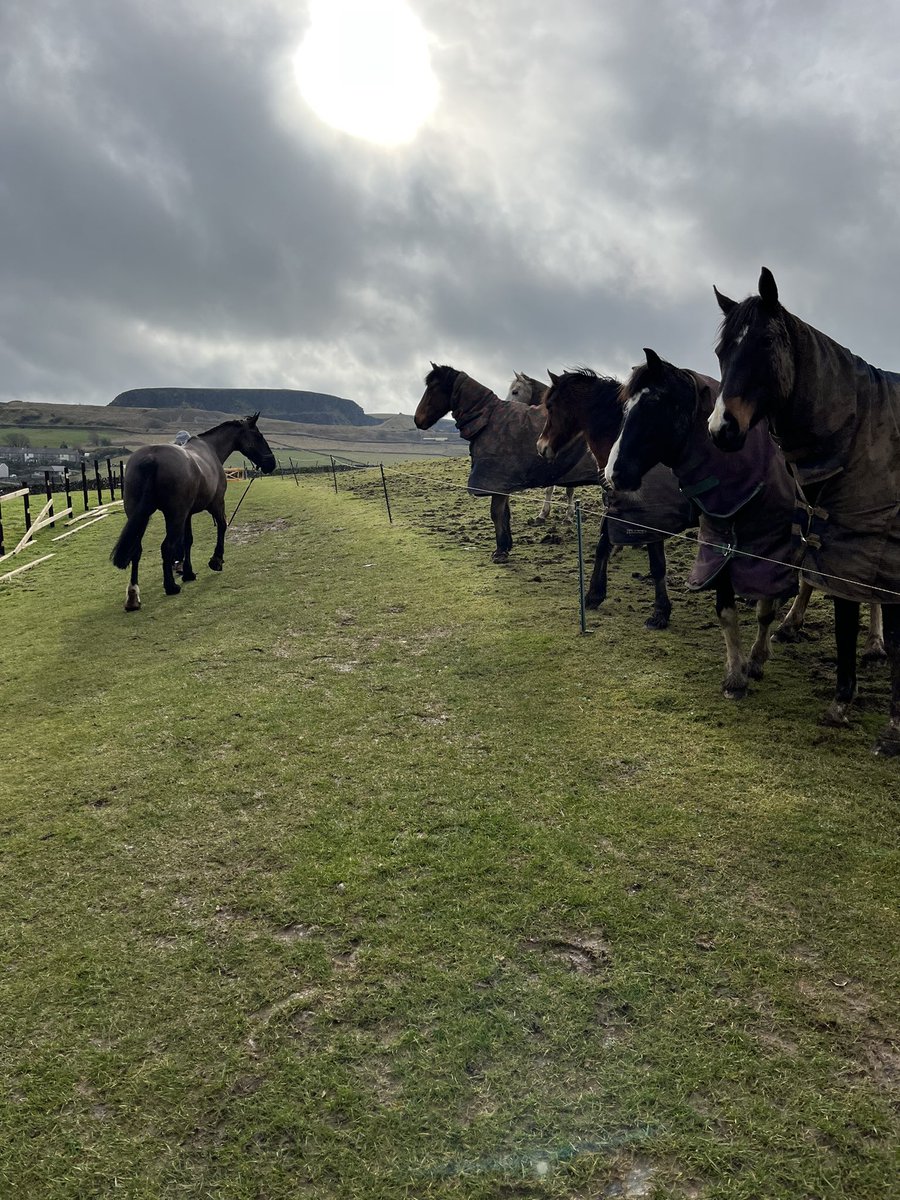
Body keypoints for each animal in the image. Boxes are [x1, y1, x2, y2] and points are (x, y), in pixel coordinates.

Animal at [111, 415, 277, 619]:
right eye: (258, 435)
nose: (271, 463)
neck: (210, 449)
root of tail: (151, 458)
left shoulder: (187, 514)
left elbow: (187, 541)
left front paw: (188, 572)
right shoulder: (216, 504)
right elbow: (222, 526)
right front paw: (216, 560)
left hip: (139, 514)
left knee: (136, 549)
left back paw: (133, 596)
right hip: (174, 515)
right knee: (166, 546)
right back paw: (170, 587)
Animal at [415, 362, 600, 564]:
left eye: (433, 388)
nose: (417, 420)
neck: (487, 418)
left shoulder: (498, 481)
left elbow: (496, 513)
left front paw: (501, 551)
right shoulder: (506, 482)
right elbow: (506, 513)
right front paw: (508, 544)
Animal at [535, 364, 696, 628]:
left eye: (550, 406)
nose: (541, 447)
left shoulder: (649, 517)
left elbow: (657, 564)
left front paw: (660, 612)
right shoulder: (616, 506)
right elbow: (603, 544)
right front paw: (594, 594)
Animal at [609, 350, 801, 700]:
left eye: (655, 403)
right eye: (626, 408)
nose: (614, 473)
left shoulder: (772, 551)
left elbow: (765, 609)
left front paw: (756, 660)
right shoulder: (719, 545)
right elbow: (726, 612)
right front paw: (735, 676)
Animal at [710, 272, 900, 753]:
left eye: (763, 346)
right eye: (722, 352)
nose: (721, 429)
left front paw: (891, 727)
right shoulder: (839, 537)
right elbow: (838, 608)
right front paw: (841, 702)